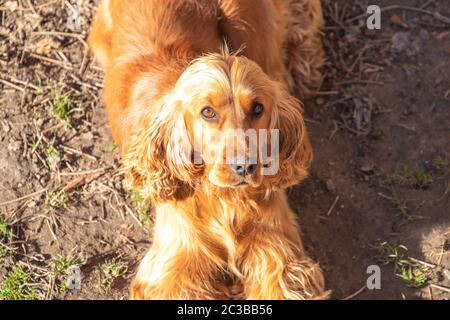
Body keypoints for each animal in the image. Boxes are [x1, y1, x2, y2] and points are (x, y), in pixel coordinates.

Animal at [89, 0, 326, 300]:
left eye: (257, 108)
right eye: (207, 112)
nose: (244, 166)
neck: (225, 199)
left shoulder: (278, 250)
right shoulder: (172, 267)